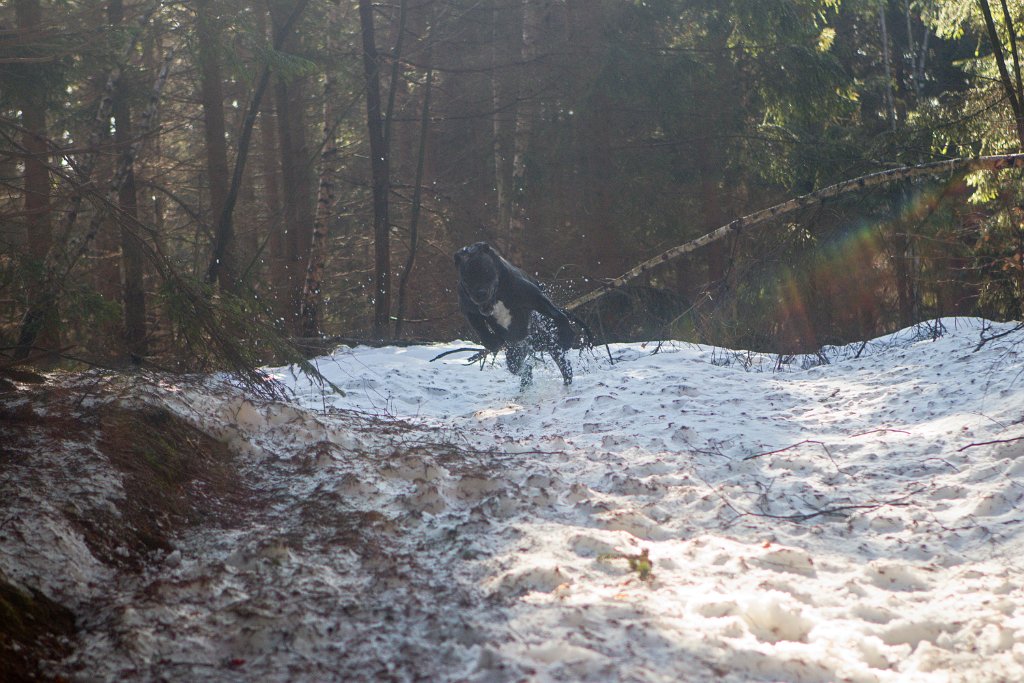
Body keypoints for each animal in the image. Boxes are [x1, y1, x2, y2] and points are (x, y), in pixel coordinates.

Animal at [456, 242, 577, 387]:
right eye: (466, 279)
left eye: (485, 271)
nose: (479, 294)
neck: (497, 297)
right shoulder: (470, 310)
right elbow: (481, 330)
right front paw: (492, 342)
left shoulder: (534, 297)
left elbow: (556, 313)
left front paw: (567, 333)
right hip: (516, 352)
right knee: (520, 368)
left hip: (550, 343)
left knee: (563, 364)